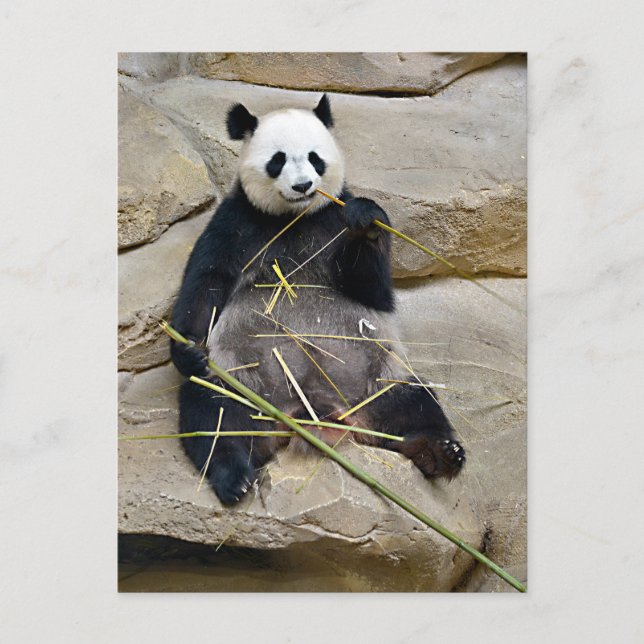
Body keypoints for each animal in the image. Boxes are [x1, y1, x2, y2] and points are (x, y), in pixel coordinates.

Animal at [170, 94, 465, 504]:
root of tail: (313, 413)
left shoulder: (333, 217)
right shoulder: (236, 223)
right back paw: (234, 477)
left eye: (315, 157)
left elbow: (373, 290)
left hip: (376, 383)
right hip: (242, 384)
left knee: (415, 404)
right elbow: (206, 283)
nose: (303, 185)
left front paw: (366, 221)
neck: (295, 219)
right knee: (213, 415)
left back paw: (441, 453)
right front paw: (187, 349)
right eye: (277, 160)